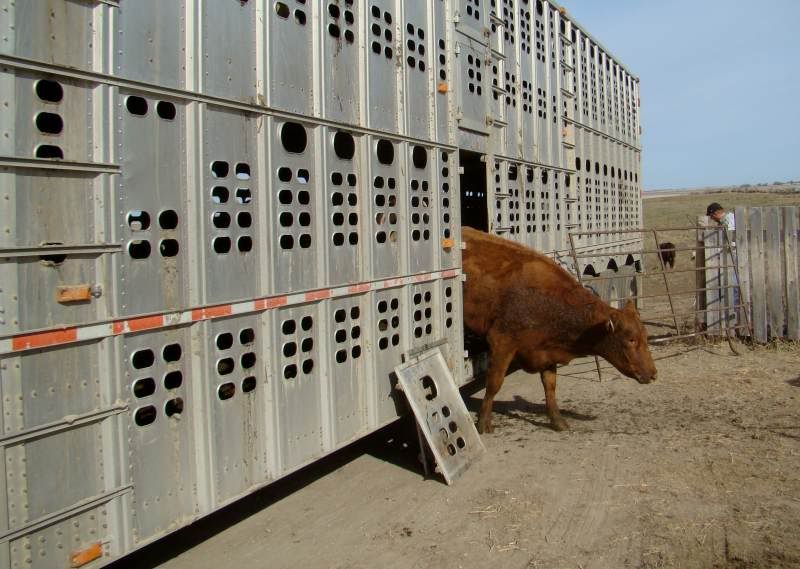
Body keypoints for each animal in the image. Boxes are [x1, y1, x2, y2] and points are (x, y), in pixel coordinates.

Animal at [462, 227, 658, 433]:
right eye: (631, 339)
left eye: (645, 337)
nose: (653, 374)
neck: (546, 300)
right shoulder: (502, 341)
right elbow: (494, 383)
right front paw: (483, 422)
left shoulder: (546, 352)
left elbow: (550, 386)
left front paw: (557, 420)